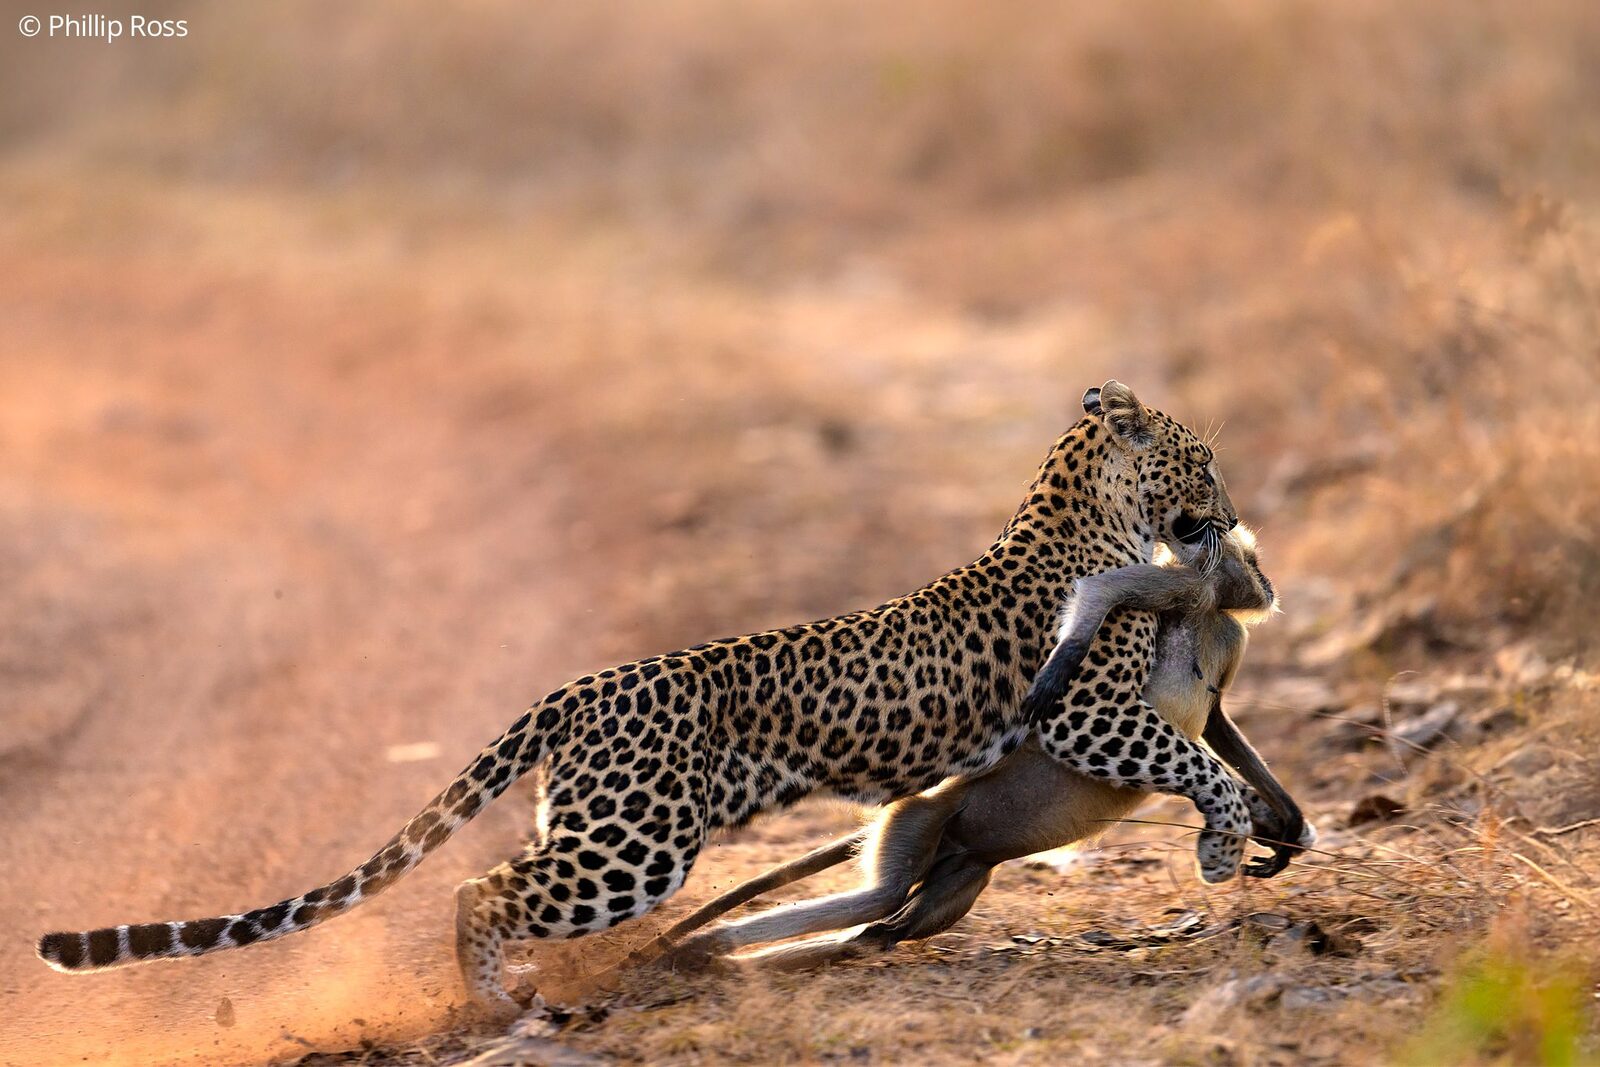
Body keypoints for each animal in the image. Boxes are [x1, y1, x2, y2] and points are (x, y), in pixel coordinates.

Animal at [37, 380, 1250, 1015]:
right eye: (1203, 460)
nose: (1232, 514)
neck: (1079, 511)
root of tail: (579, 685)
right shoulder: (1084, 712)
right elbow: (1199, 764)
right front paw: (1221, 851)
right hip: (636, 839)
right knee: (480, 886)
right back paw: (501, 1000)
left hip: (598, 822)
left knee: (501, 877)